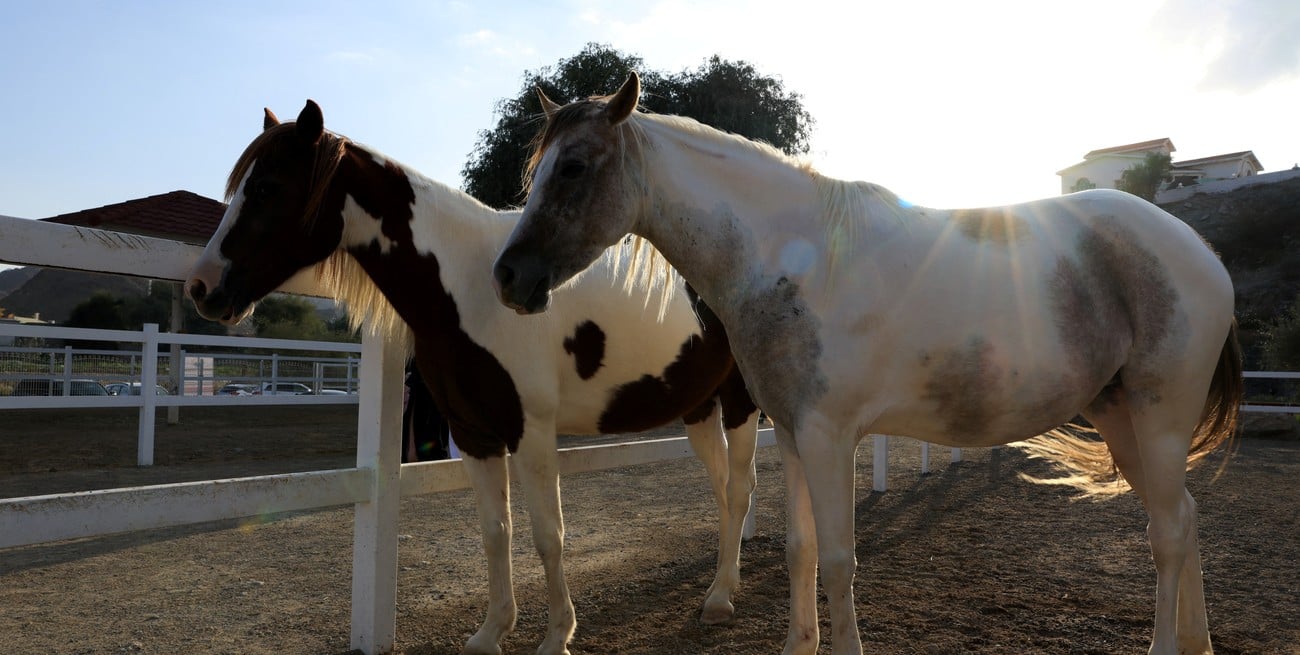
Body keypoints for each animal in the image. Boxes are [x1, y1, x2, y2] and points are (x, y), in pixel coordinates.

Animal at [185, 100, 762, 655]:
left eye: (267, 187)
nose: (201, 288)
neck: (467, 287)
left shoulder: (531, 433)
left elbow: (548, 535)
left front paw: (557, 636)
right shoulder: (474, 435)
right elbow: (495, 532)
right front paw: (491, 632)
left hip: (741, 404)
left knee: (740, 489)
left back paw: (721, 598)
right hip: (698, 408)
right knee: (722, 488)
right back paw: (724, 580)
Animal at [492, 73, 1242, 655]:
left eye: (574, 166)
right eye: (539, 167)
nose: (508, 277)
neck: (791, 261)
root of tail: (1197, 251)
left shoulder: (830, 438)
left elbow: (837, 560)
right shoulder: (794, 436)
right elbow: (799, 551)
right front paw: (798, 643)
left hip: (1159, 417)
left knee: (1168, 532)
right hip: (1121, 418)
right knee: (1184, 517)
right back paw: (1198, 639)